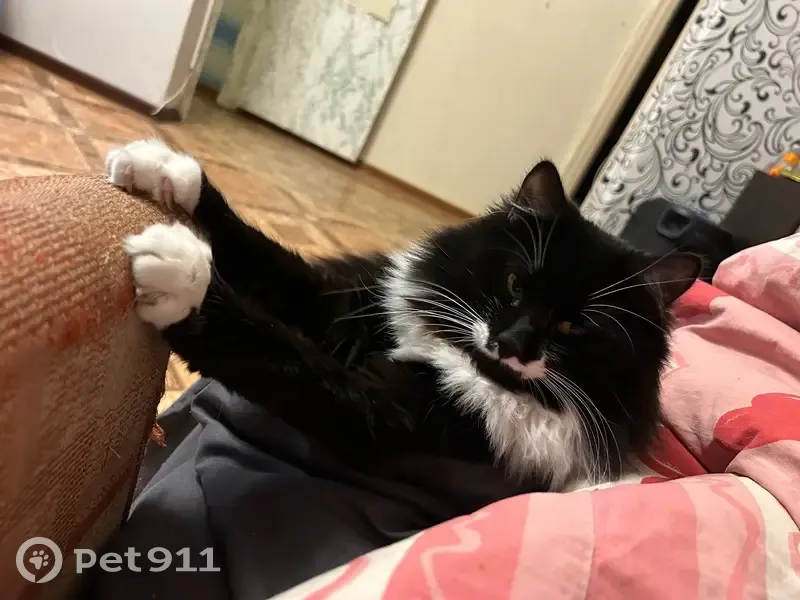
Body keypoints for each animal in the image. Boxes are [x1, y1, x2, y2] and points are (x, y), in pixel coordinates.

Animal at [107, 139, 701, 492]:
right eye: (514, 284)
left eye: (574, 327)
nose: (511, 342)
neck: (450, 346)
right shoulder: (340, 302)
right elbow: (258, 253)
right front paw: (165, 172)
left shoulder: (385, 408)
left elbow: (276, 349)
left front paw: (180, 273)